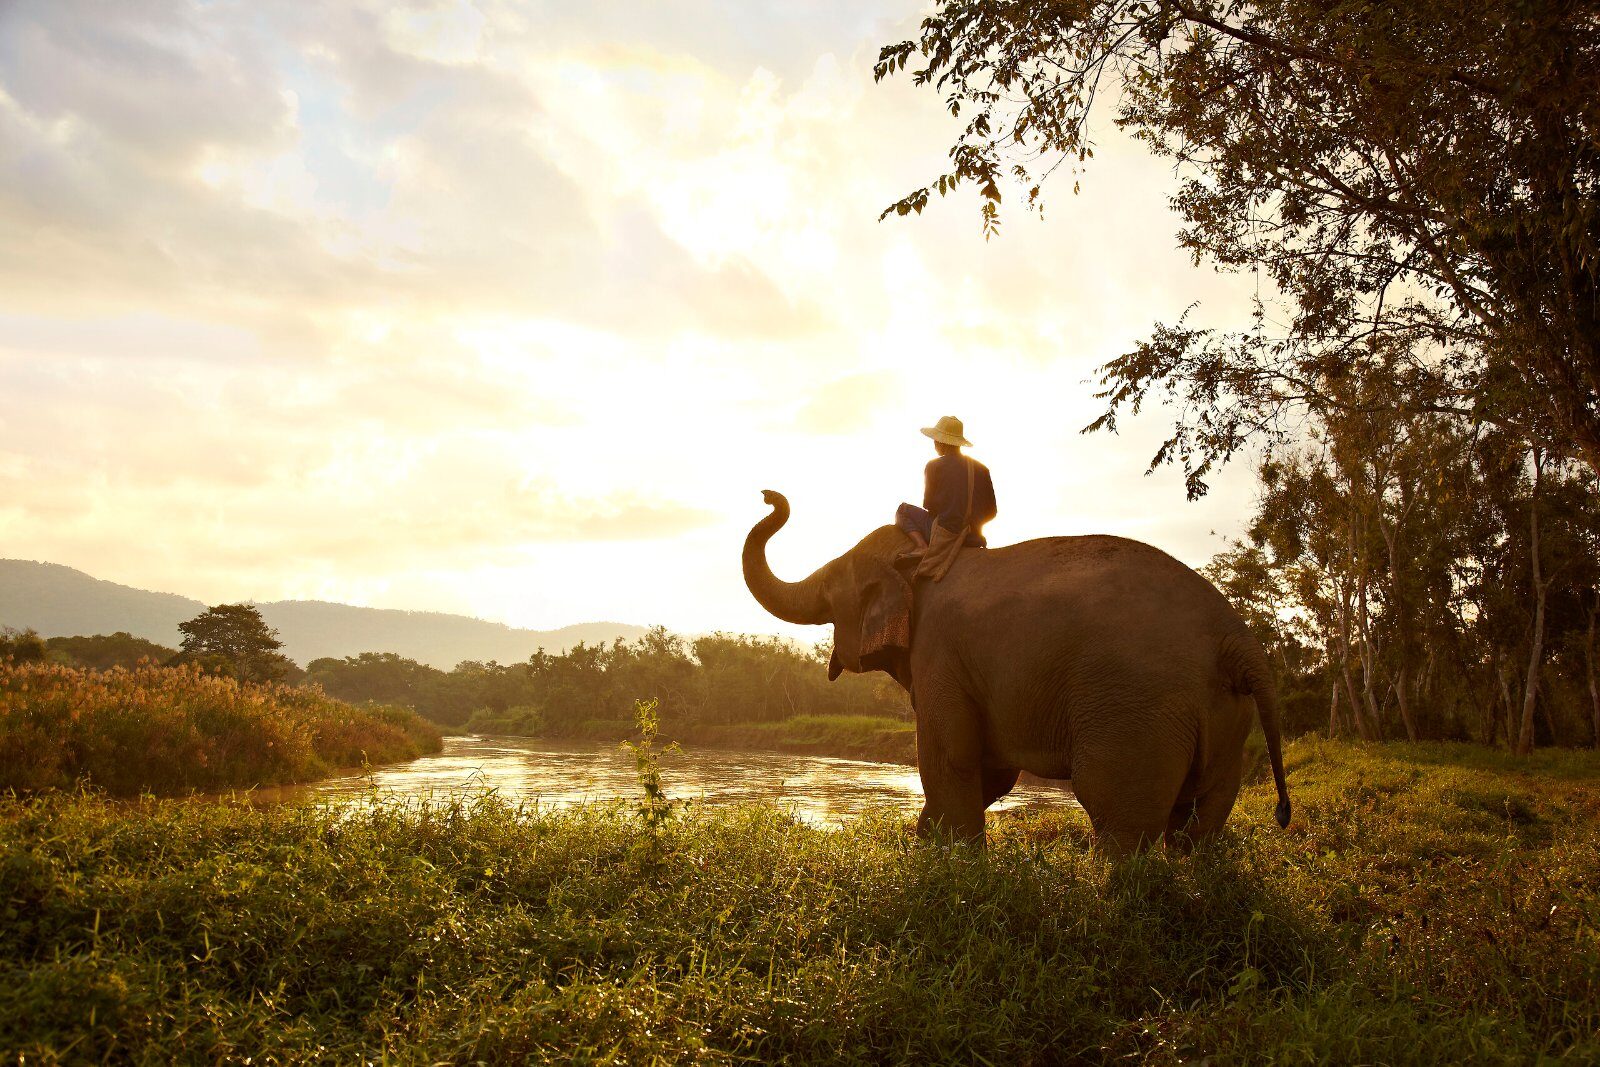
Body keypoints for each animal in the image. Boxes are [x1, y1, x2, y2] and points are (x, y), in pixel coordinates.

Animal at [743, 490, 1291, 853]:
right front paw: (926, 843)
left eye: (831, 586)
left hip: (1139, 710)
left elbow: (951, 756)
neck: (921, 559)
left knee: (1116, 809)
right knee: (1203, 815)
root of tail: (1237, 638)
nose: (769, 496)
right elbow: (992, 769)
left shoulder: (940, 653)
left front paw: (951, 866)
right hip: (1226, 717)